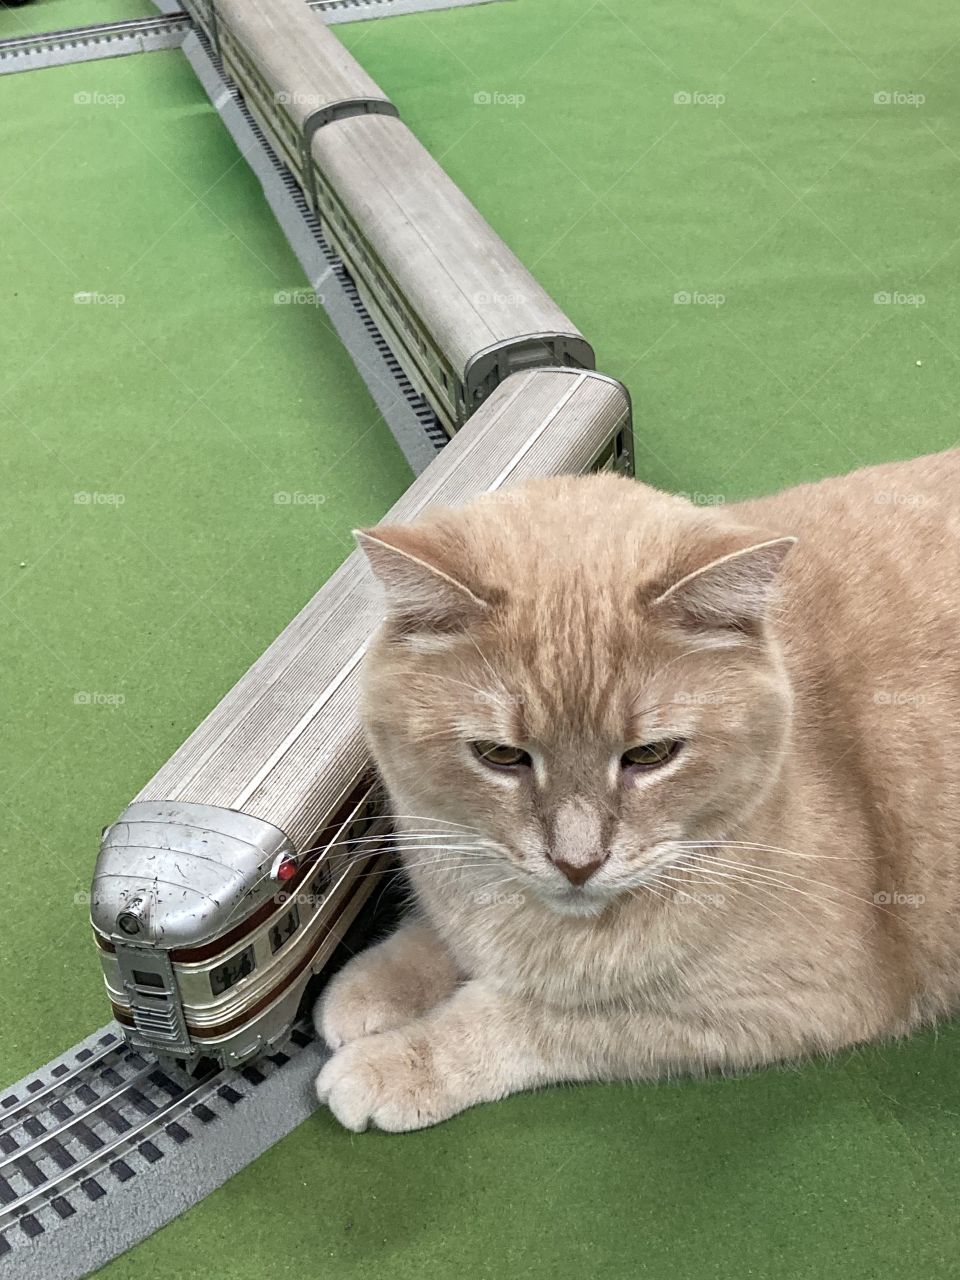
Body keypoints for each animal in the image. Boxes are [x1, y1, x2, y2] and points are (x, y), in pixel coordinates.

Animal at [316, 450, 960, 1131]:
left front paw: (398, 1062)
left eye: (650, 755)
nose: (577, 863)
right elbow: (439, 930)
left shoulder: (779, 1002)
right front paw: (376, 979)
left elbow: (531, 1020)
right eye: (501, 756)